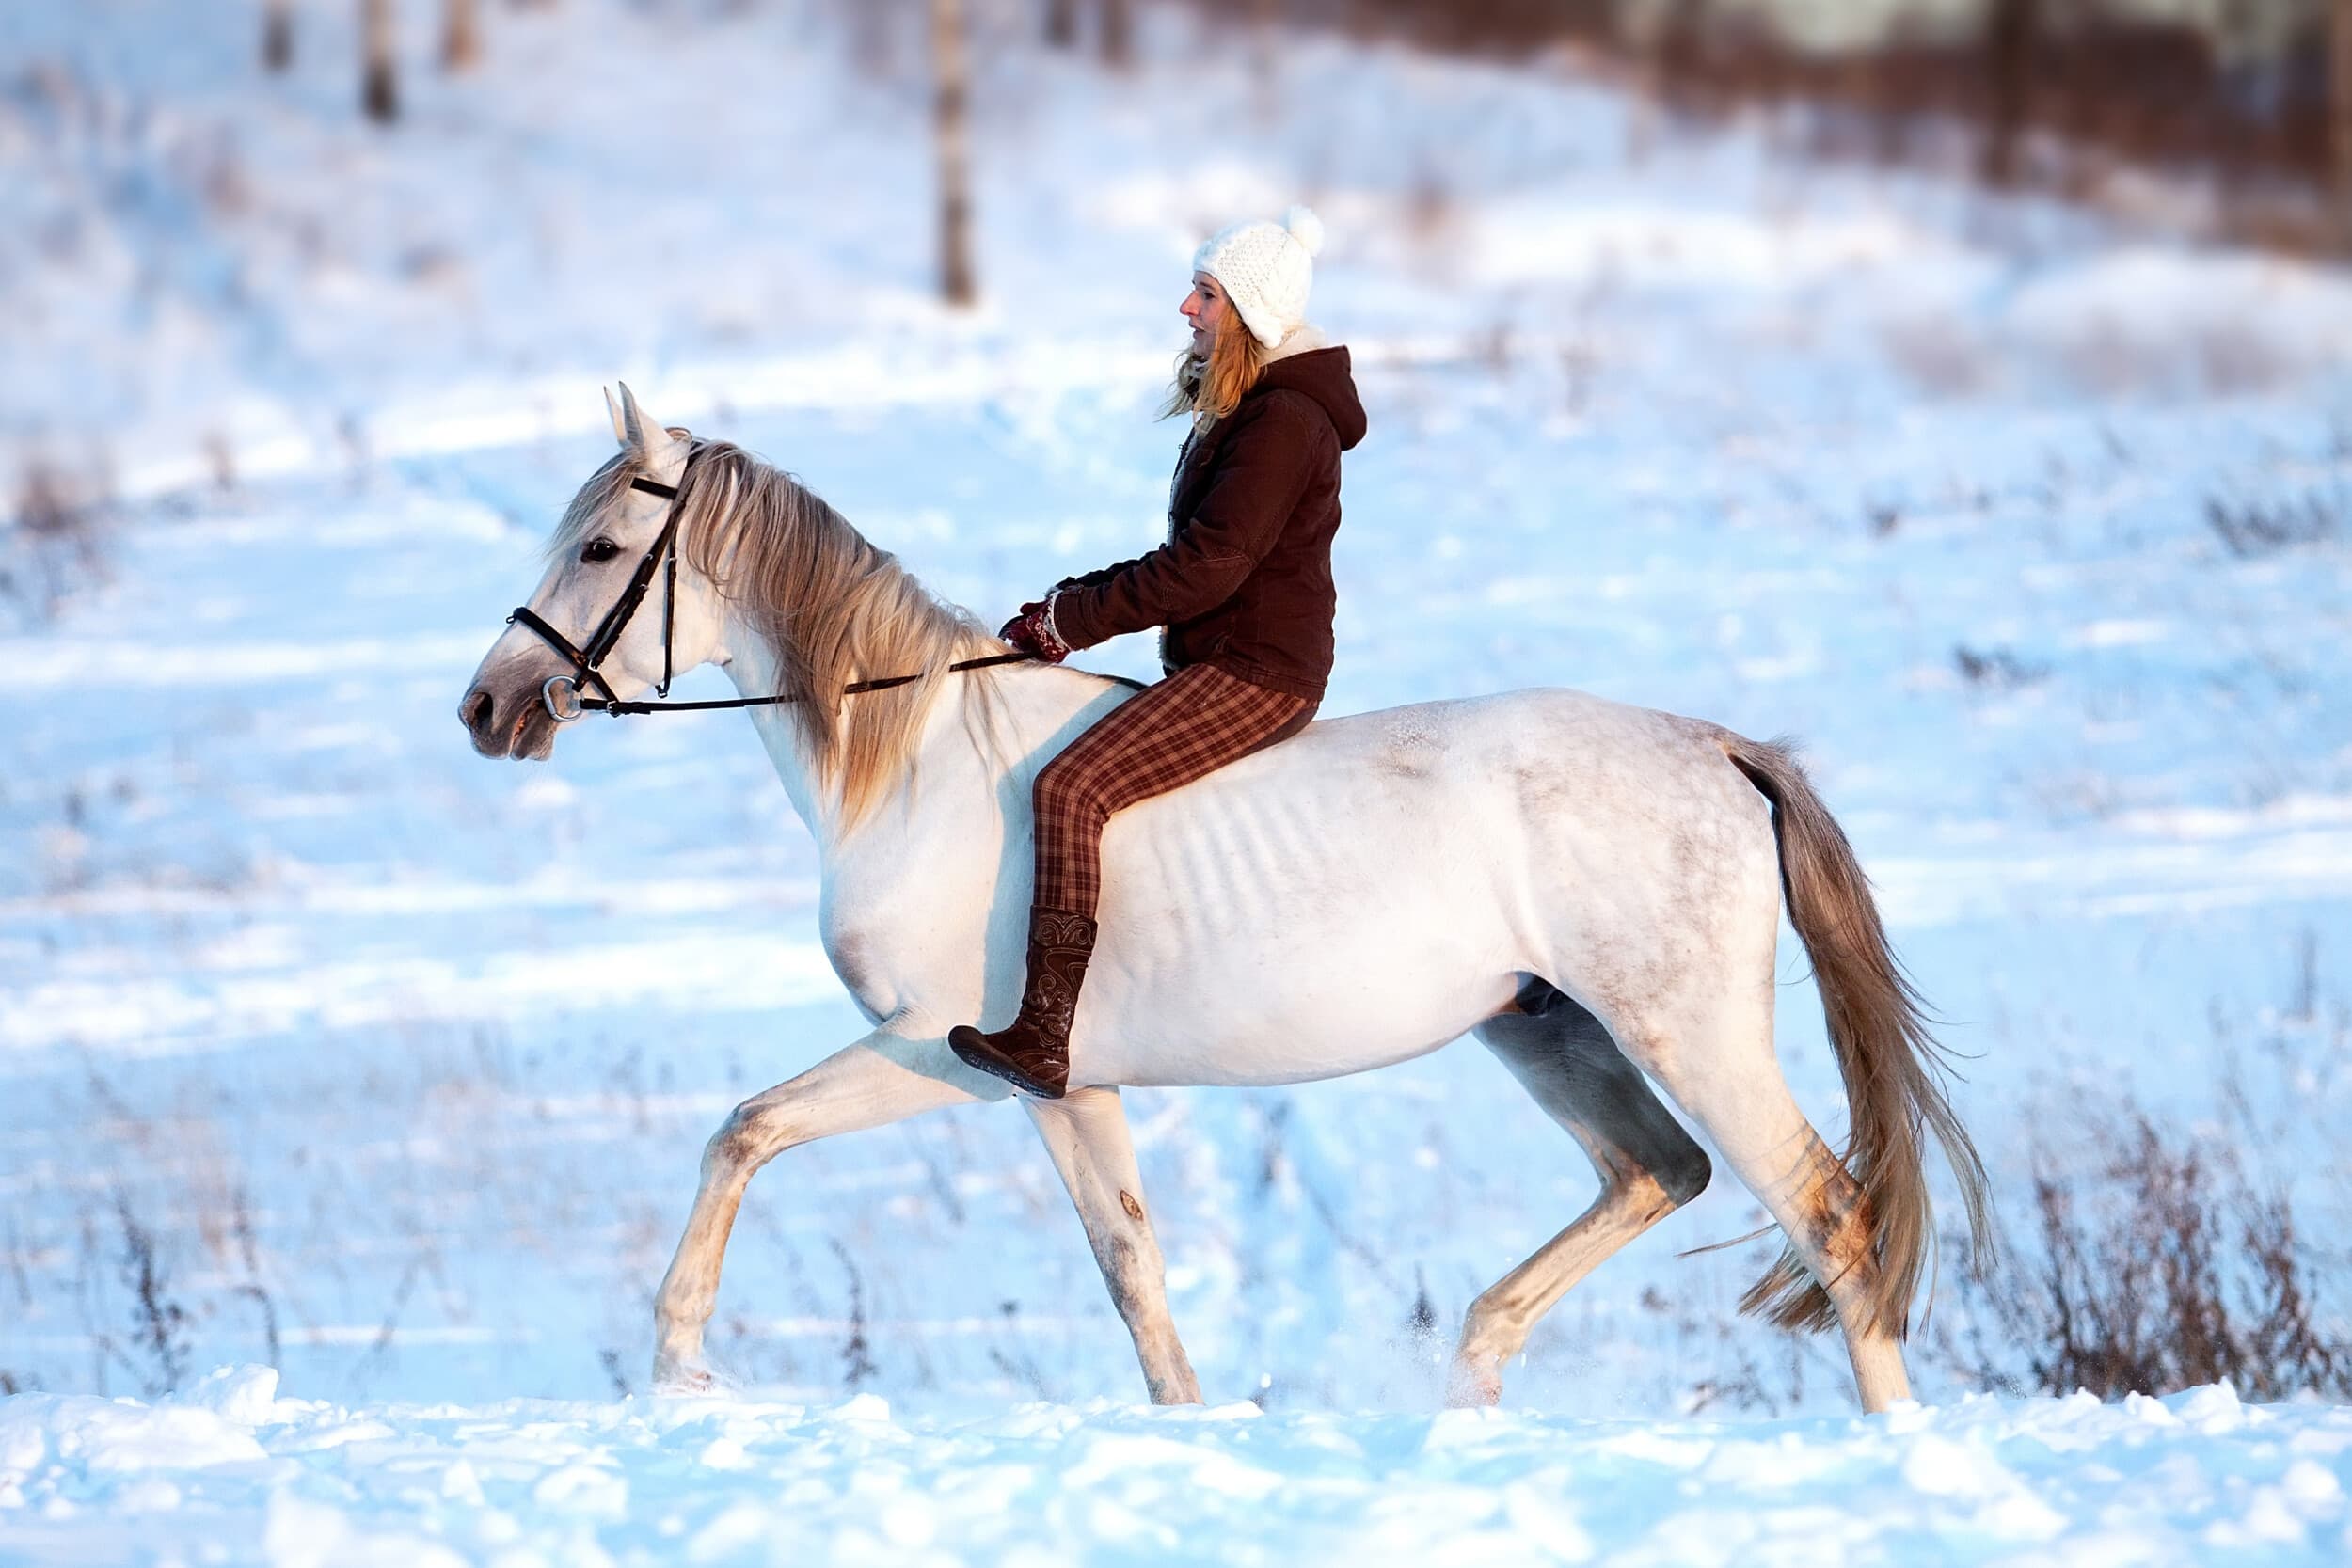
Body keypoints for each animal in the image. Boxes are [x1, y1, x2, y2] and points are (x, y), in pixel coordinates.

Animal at [459, 385, 1990, 1413]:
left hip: (1690, 1030)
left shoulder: (936, 1051)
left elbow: (743, 1131)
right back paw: (1474, 1375)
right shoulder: (1062, 1088)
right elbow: (1133, 1272)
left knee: (1828, 1216)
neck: (918, 766)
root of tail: (1718, 747)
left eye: (599, 552)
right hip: (1549, 1028)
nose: (487, 708)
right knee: (1657, 1174)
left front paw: (678, 1362)